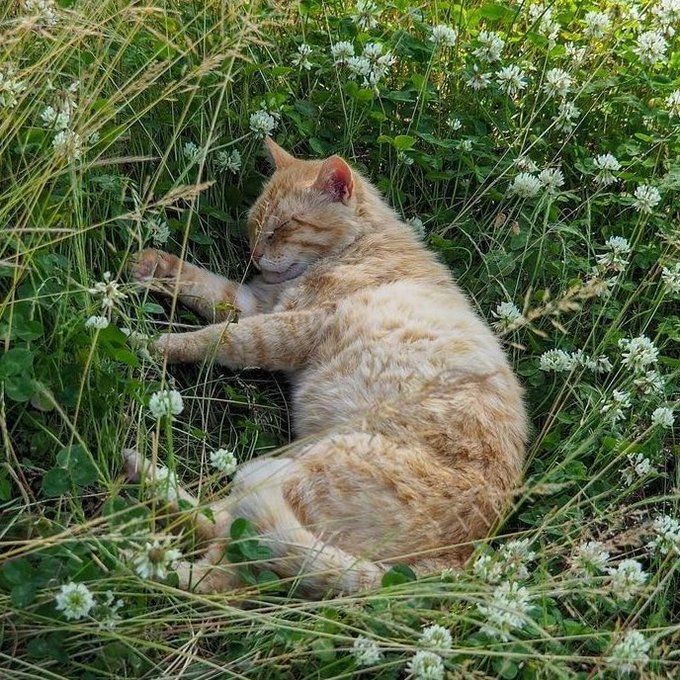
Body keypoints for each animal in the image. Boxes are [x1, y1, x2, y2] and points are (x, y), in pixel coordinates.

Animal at [129, 141, 532, 596]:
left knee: (222, 564)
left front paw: (155, 343)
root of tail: (455, 563)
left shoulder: (289, 328)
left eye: (284, 226)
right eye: (255, 225)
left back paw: (134, 543)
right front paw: (154, 266)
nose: (255, 255)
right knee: (224, 556)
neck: (359, 244)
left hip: (303, 474)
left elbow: (220, 338)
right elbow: (203, 285)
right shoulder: (255, 303)